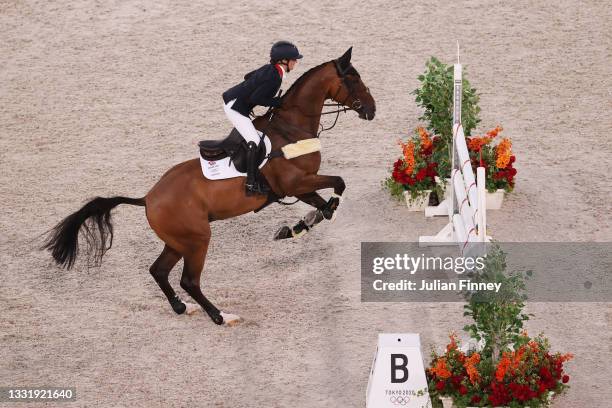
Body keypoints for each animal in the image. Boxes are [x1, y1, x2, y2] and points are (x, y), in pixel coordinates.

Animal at [43, 47, 376, 326]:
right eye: (353, 80)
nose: (372, 110)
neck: (291, 127)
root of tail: (148, 198)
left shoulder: (297, 188)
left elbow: (323, 205)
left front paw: (294, 228)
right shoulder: (296, 183)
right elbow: (338, 186)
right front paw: (308, 220)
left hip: (178, 241)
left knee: (158, 270)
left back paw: (181, 308)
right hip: (197, 239)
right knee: (189, 281)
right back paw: (221, 316)